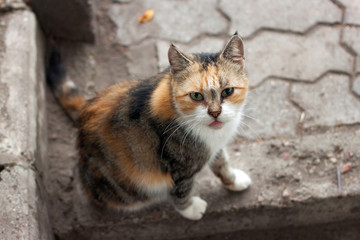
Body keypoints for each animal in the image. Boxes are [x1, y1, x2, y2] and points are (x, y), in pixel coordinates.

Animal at [47, 32, 250, 221]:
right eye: (196, 96)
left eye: (228, 91)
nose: (215, 113)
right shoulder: (179, 163)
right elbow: (181, 188)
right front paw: (190, 209)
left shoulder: (213, 147)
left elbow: (222, 162)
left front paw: (234, 181)